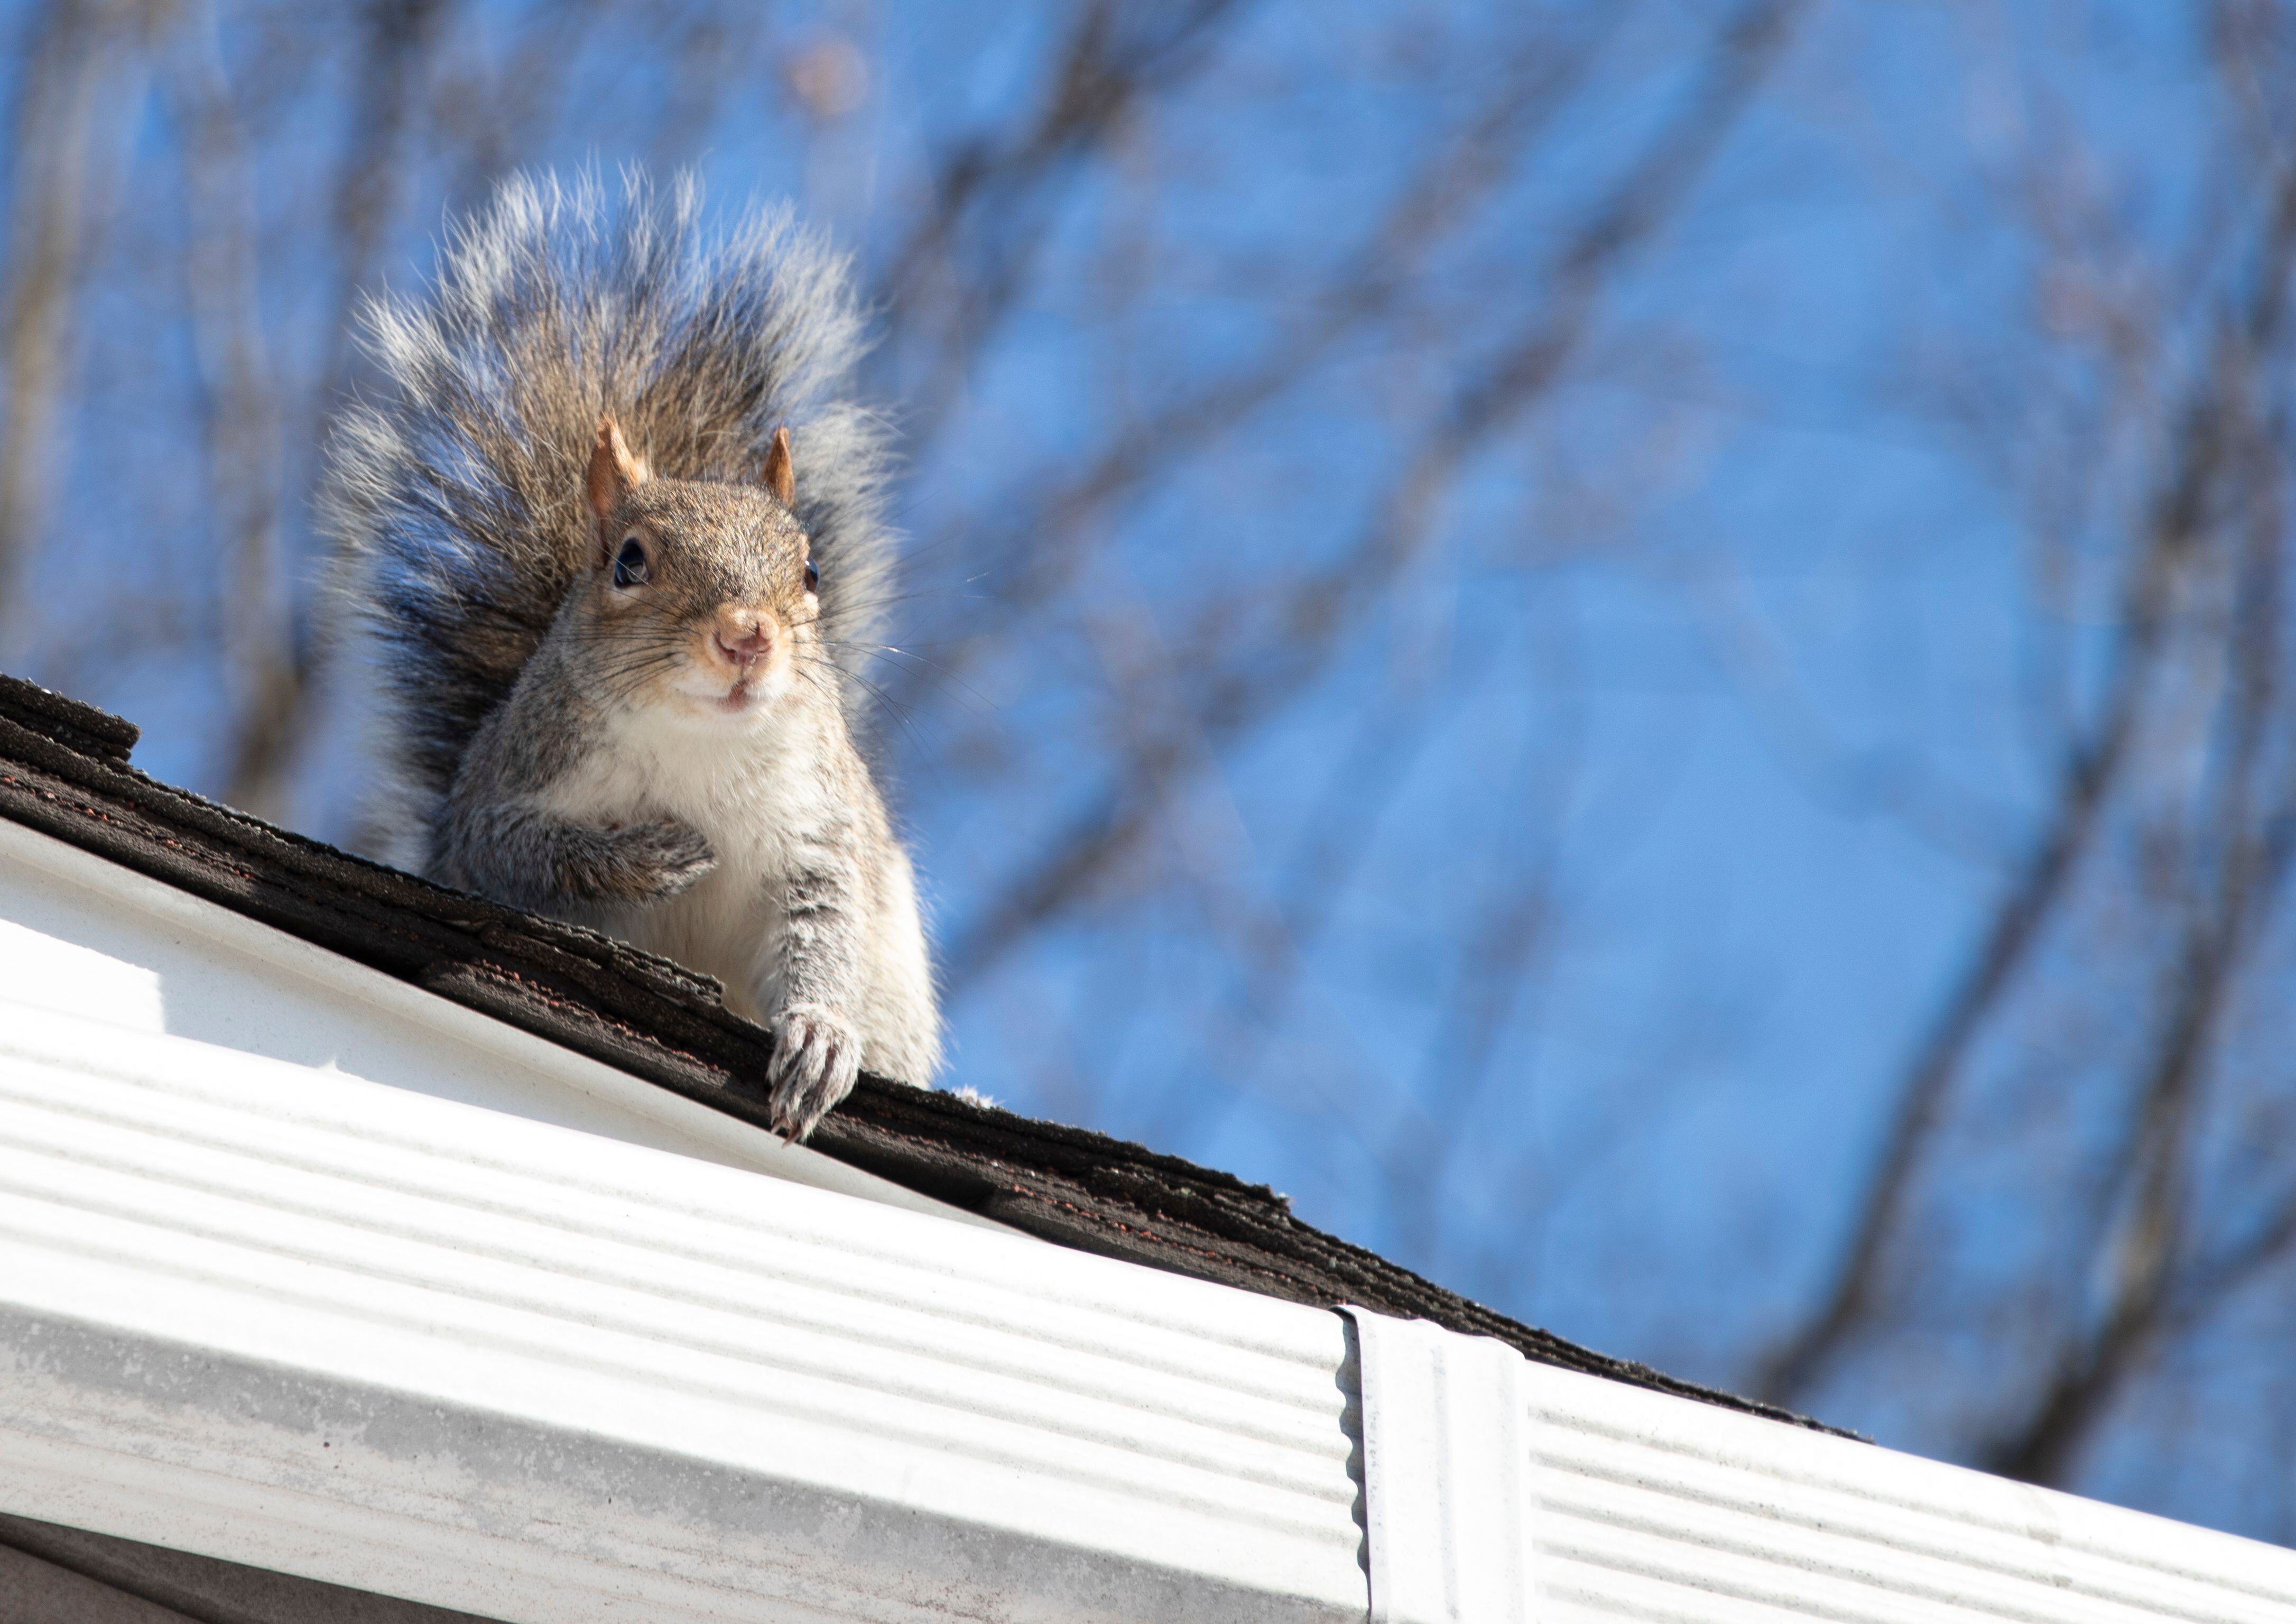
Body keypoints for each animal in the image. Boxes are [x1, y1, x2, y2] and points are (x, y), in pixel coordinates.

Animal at [319, 174, 937, 1143]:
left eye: (809, 570)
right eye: (629, 562)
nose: (746, 635)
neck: (699, 745)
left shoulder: (819, 831)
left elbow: (824, 927)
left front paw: (820, 1036)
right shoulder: (502, 799)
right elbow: (520, 852)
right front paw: (654, 853)